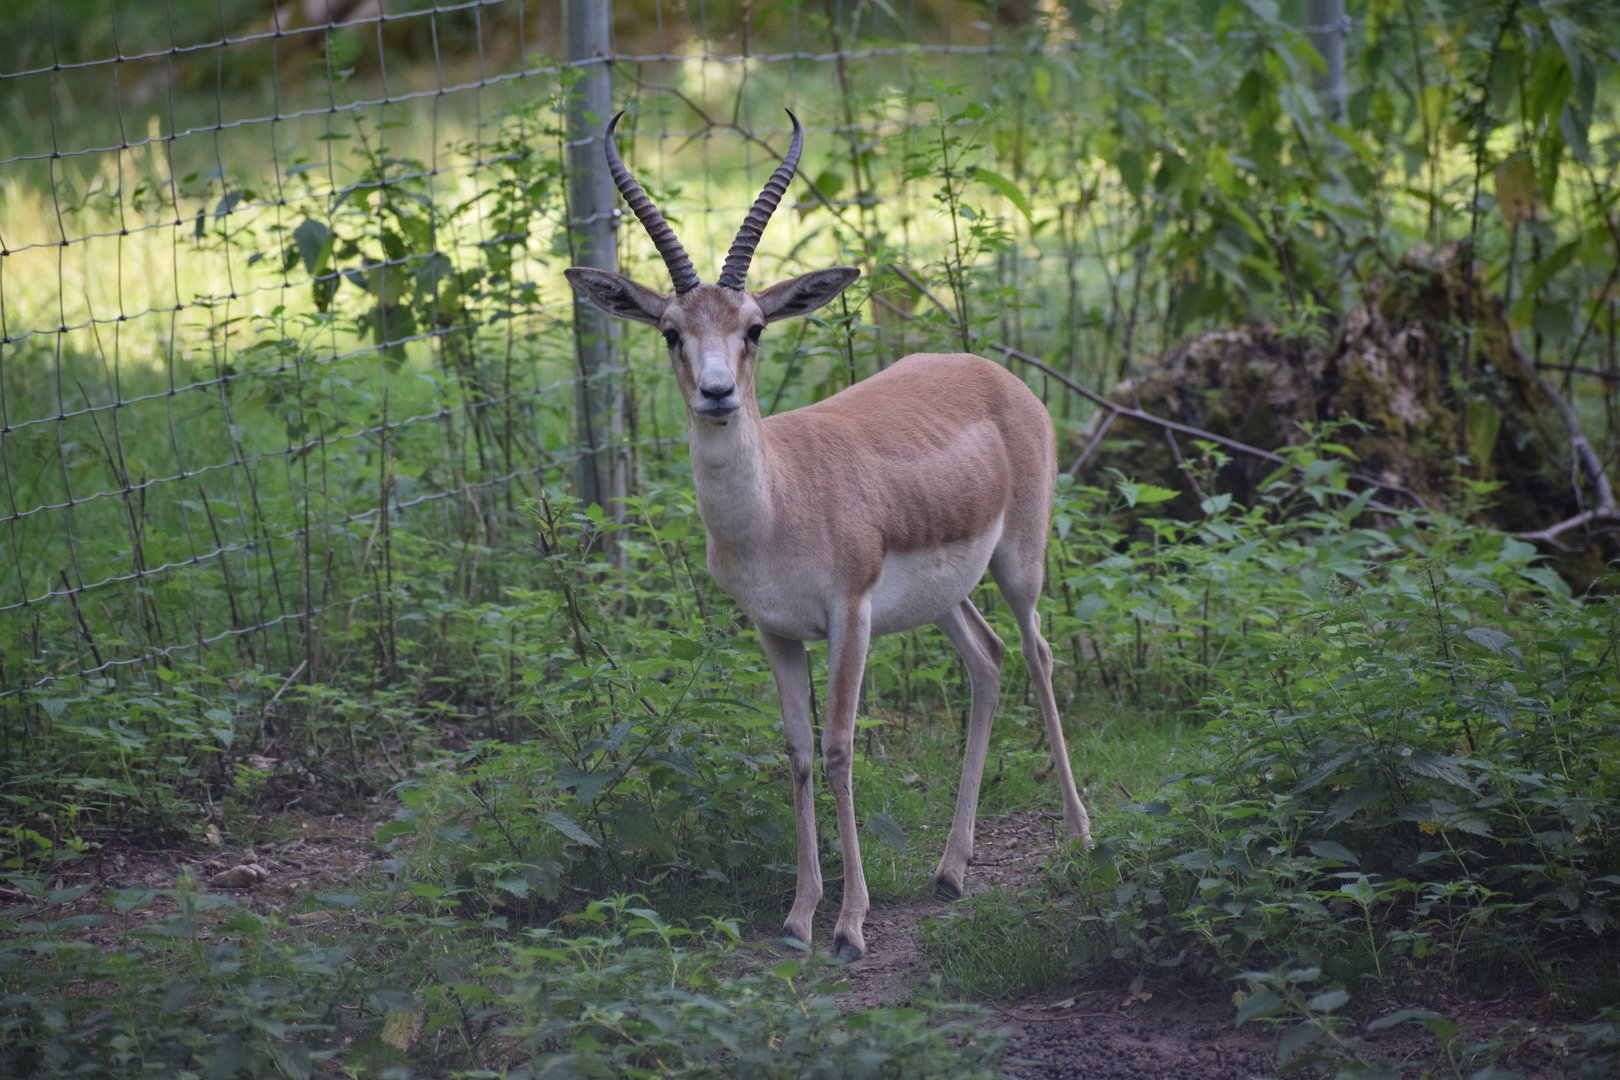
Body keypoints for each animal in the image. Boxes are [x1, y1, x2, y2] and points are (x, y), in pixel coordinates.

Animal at [565, 110, 1091, 962]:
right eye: (672, 332)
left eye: (753, 328)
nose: (717, 394)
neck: (779, 506)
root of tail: (991, 372)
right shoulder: (775, 631)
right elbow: (798, 751)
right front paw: (798, 916)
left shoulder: (849, 615)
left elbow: (842, 747)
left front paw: (849, 925)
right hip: (941, 599)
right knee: (987, 660)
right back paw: (951, 870)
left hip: (1020, 563)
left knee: (1039, 654)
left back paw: (1079, 833)